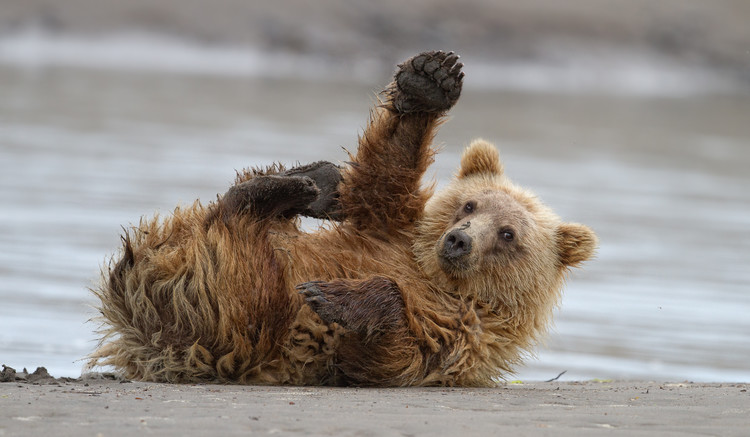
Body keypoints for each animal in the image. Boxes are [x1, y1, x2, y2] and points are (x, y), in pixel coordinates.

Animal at [89, 51, 600, 384]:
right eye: (470, 205)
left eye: (509, 234)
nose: (459, 240)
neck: (435, 274)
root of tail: (138, 333)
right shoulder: (391, 234)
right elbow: (383, 184)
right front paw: (431, 80)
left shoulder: (462, 333)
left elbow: (392, 355)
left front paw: (333, 296)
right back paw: (310, 182)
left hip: (235, 317)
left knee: (247, 266)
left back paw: (284, 192)